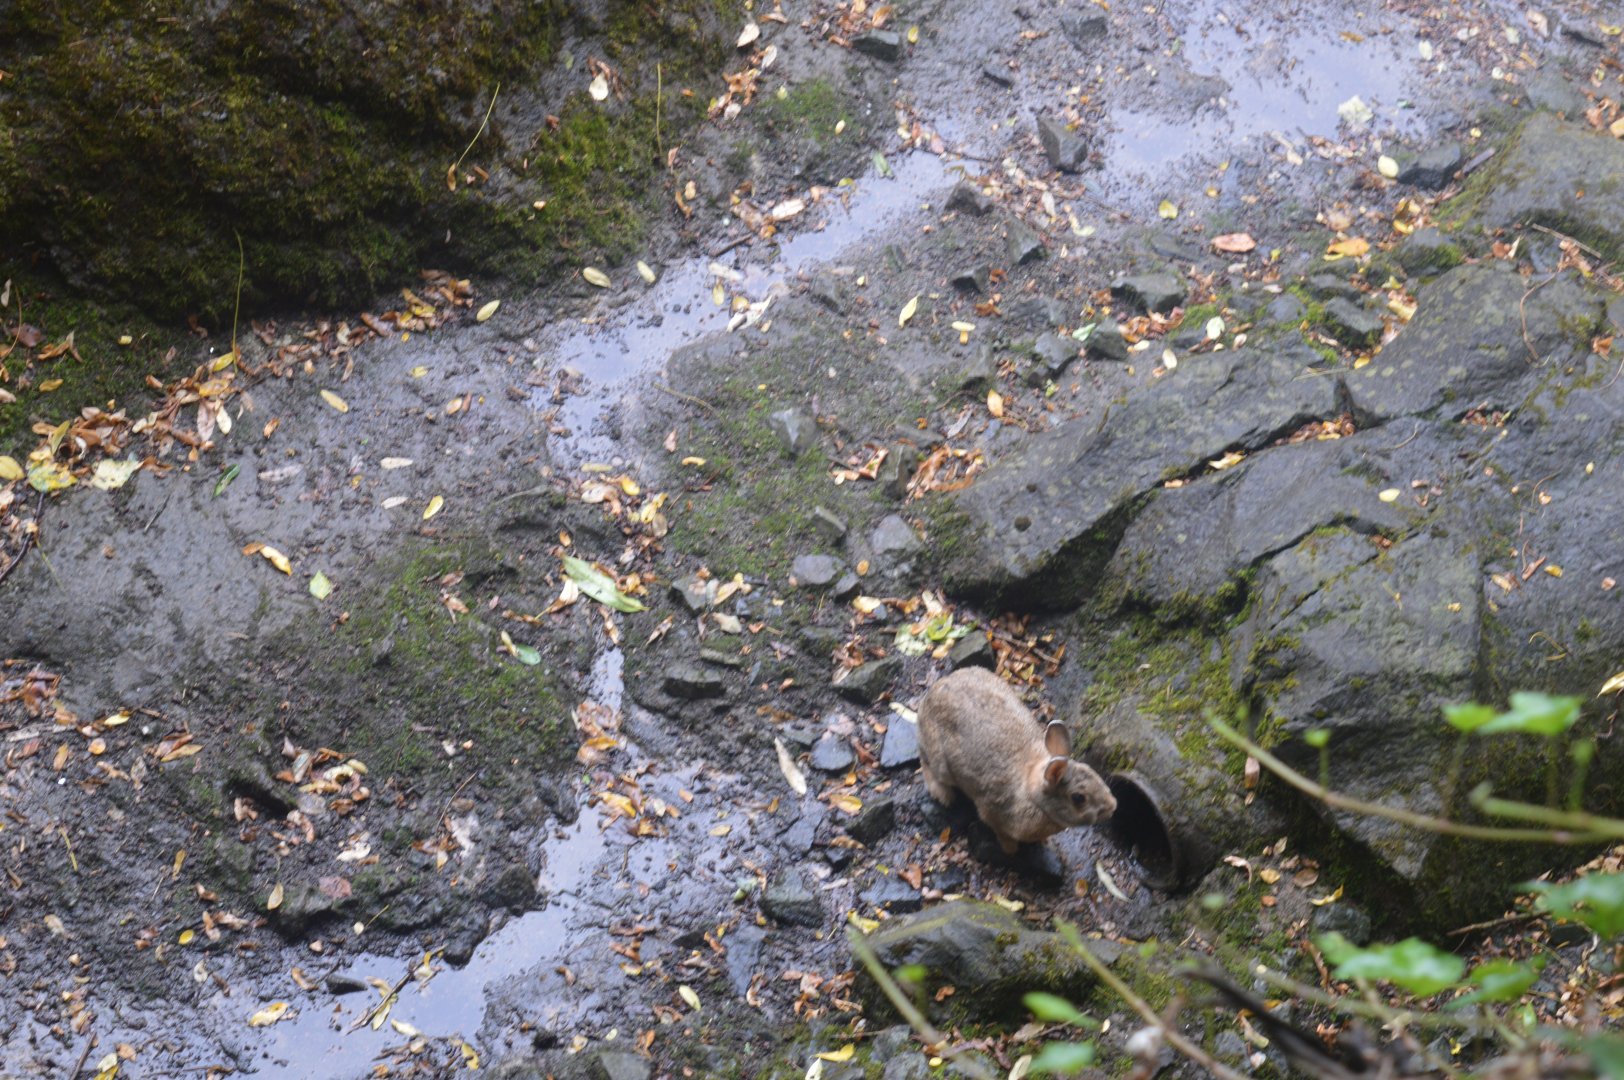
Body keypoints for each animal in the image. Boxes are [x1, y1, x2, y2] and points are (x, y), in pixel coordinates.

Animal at [917, 666, 1116, 855]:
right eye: (1079, 798)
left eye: (1093, 772)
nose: (1113, 806)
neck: (1032, 792)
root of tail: (931, 694)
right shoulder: (991, 812)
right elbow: (1000, 831)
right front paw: (1010, 849)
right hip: (940, 761)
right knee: (926, 763)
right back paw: (944, 796)